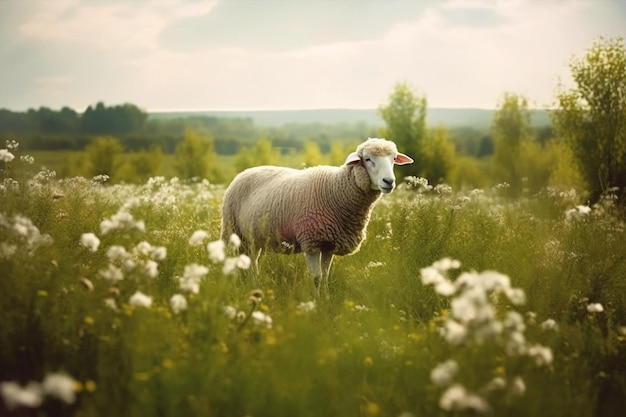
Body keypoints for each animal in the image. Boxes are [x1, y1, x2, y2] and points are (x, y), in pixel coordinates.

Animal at [221, 137, 414, 296]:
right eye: (367, 159)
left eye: (393, 159)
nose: (389, 182)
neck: (337, 190)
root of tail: (244, 172)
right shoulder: (311, 241)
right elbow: (317, 277)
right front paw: (316, 304)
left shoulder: (329, 244)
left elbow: (326, 275)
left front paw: (326, 299)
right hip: (233, 231)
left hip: (254, 238)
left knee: (252, 262)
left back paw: (255, 284)